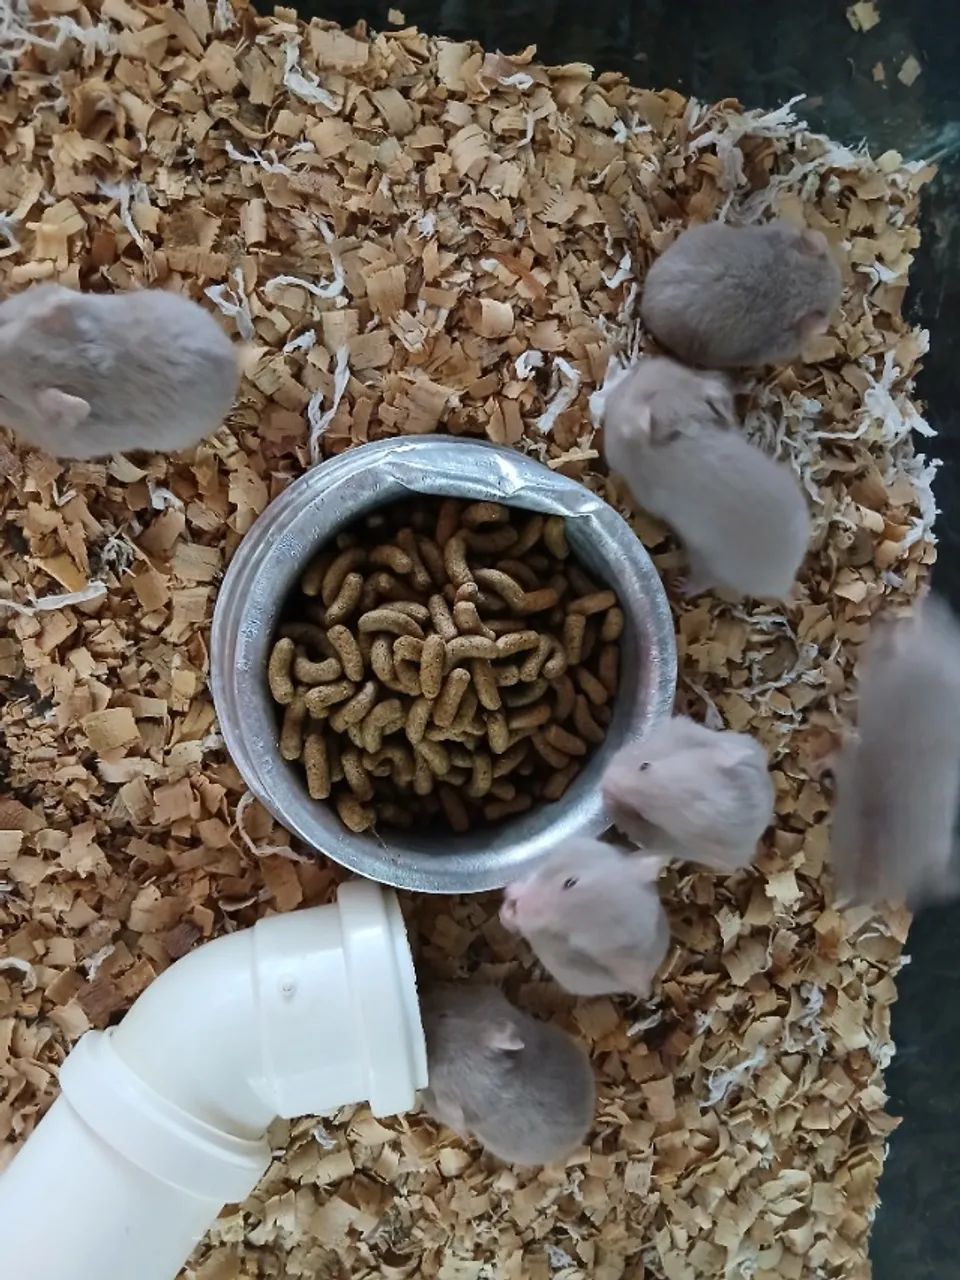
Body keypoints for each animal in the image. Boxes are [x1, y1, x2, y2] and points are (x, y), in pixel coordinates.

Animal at [602, 356, 811, 598]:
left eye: (636, 384)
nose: (637, 366)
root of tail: (783, 581)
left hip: (712, 564)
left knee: (708, 581)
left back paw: (683, 587)